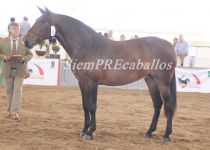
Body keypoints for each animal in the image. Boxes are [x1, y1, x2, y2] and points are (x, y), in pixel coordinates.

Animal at [24, 7, 177, 142]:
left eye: (43, 21)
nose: (26, 41)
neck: (86, 45)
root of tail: (170, 45)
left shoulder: (92, 82)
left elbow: (92, 106)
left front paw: (90, 133)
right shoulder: (82, 82)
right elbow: (85, 105)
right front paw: (84, 130)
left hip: (162, 82)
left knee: (168, 105)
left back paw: (166, 135)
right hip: (150, 80)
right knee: (157, 104)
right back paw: (149, 132)